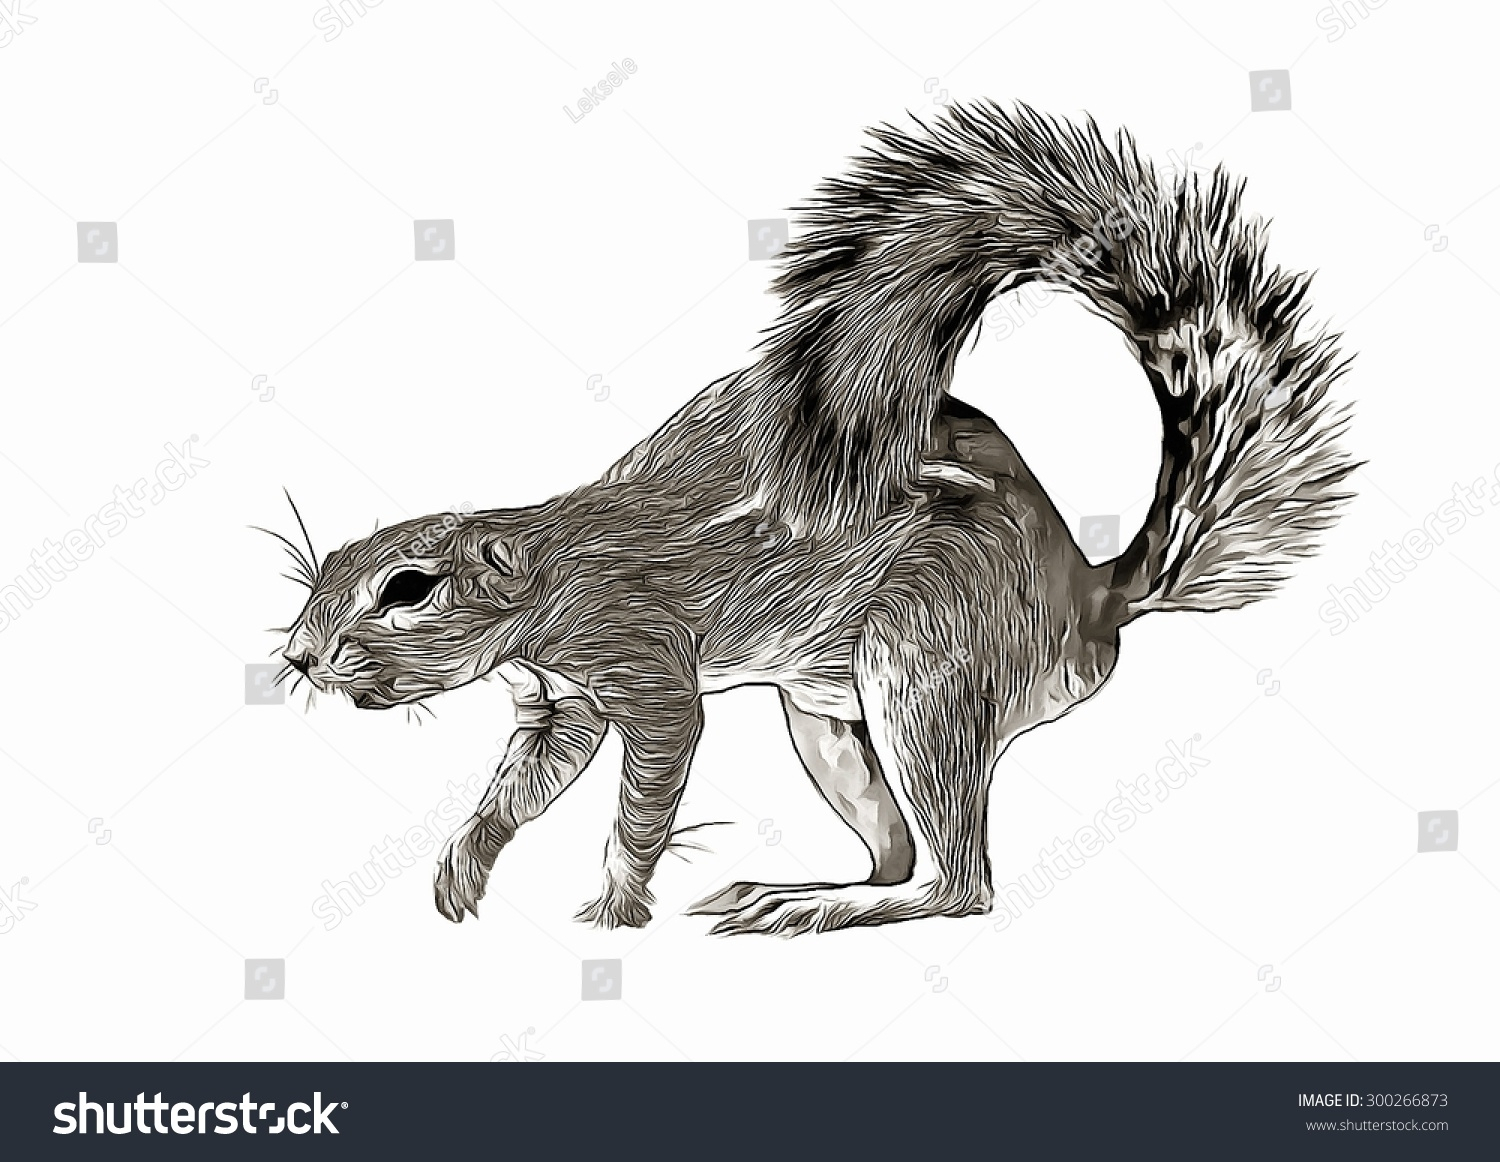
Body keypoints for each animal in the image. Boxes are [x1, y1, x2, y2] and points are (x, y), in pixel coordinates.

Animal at [277, 101, 1355, 937]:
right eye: (324, 569)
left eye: (408, 588)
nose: (297, 657)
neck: (551, 569)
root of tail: (1093, 598)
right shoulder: (560, 702)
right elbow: (523, 786)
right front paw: (465, 867)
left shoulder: (642, 660)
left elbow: (649, 786)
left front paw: (617, 905)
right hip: (830, 722)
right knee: (897, 855)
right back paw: (792, 890)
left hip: (926, 672)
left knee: (957, 885)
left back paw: (819, 909)